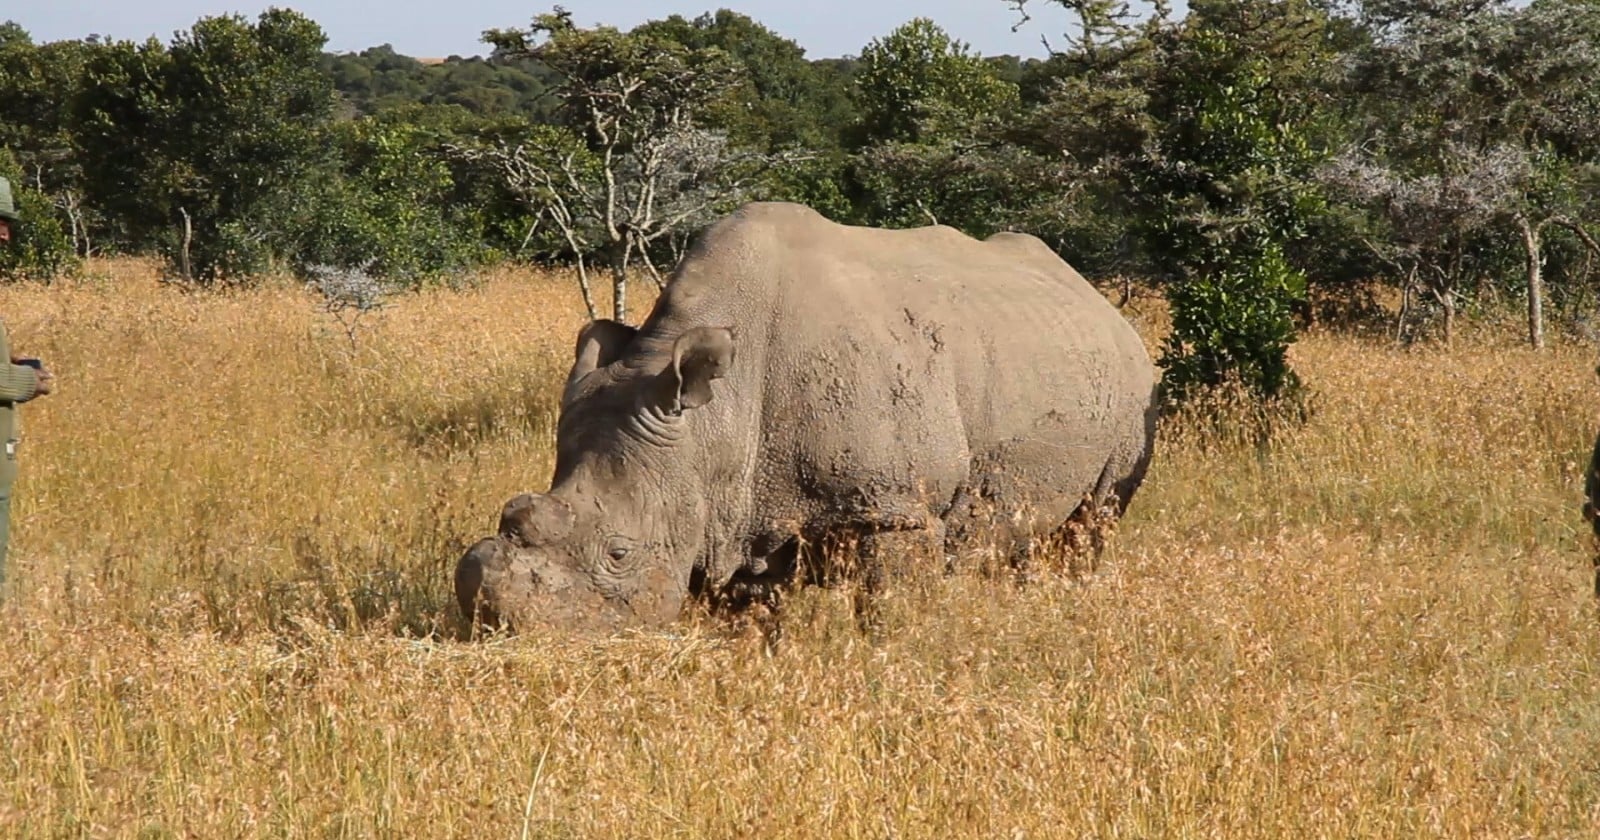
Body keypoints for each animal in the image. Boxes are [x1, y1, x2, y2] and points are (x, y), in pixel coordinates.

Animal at [454, 202, 1158, 635]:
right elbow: (754, 622)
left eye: (620, 553)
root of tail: (1098, 300)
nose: (507, 636)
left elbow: (888, 612)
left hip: (1134, 386)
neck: (719, 419)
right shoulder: (734, 509)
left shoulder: (896, 507)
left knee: (1093, 519)